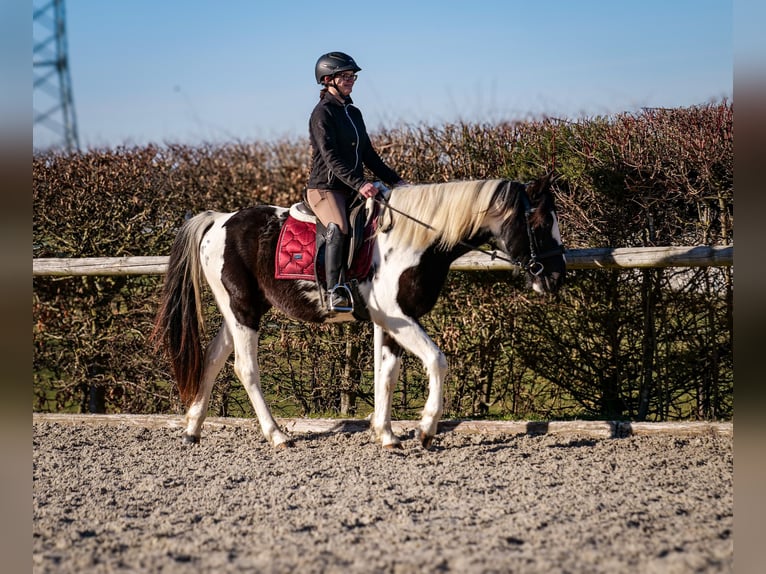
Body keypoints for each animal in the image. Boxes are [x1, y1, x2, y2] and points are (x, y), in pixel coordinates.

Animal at [153, 173, 568, 452]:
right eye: (539, 224)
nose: (556, 277)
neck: (414, 241)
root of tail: (219, 220)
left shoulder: (392, 321)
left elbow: (387, 373)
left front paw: (386, 435)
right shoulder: (399, 316)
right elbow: (437, 361)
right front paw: (425, 430)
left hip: (239, 310)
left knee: (212, 358)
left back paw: (192, 429)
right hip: (242, 311)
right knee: (245, 368)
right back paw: (277, 436)